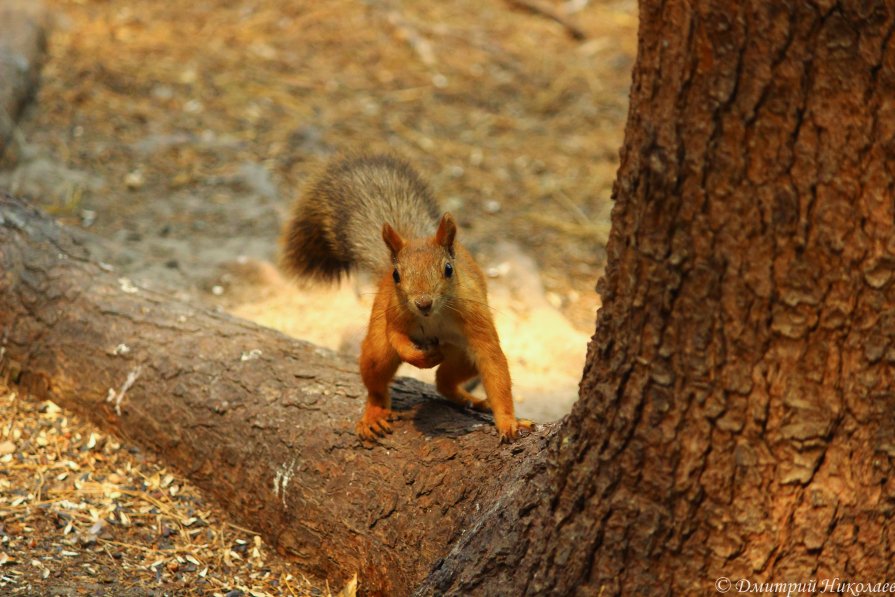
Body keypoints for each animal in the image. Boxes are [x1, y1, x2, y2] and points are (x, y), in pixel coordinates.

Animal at [280, 155, 532, 438]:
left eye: (448, 269)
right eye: (396, 275)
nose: (423, 303)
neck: (434, 317)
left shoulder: (476, 320)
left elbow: (494, 366)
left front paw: (509, 422)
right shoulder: (396, 313)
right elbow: (396, 337)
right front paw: (422, 358)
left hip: (463, 357)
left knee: (444, 382)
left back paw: (473, 400)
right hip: (379, 345)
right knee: (378, 377)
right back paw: (374, 414)